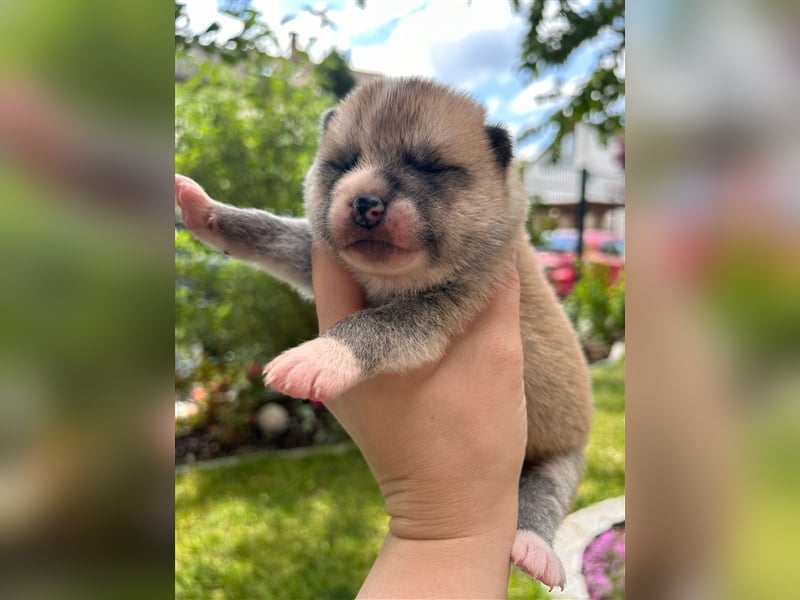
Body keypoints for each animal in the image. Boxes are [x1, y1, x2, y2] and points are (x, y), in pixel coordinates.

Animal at [175, 76, 592, 592]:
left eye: (430, 166)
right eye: (344, 162)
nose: (365, 202)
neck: (392, 280)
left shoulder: (443, 306)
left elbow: (377, 325)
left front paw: (319, 356)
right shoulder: (313, 256)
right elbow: (272, 235)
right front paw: (206, 212)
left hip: (561, 460)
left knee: (541, 498)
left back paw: (537, 549)